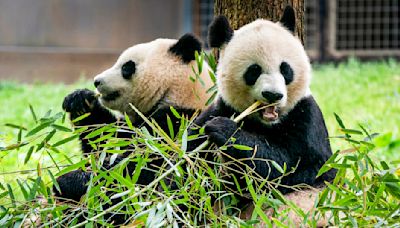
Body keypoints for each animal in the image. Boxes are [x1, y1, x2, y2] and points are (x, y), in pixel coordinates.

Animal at [55, 33, 216, 208]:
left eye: (127, 67)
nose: (97, 81)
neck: (179, 91)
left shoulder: (178, 123)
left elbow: (140, 168)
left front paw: (68, 181)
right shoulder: (133, 124)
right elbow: (103, 141)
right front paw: (80, 101)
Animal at [187, 6, 334, 225]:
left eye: (285, 69)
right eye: (254, 70)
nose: (272, 95)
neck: (266, 123)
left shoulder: (306, 118)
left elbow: (288, 167)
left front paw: (225, 130)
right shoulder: (222, 108)